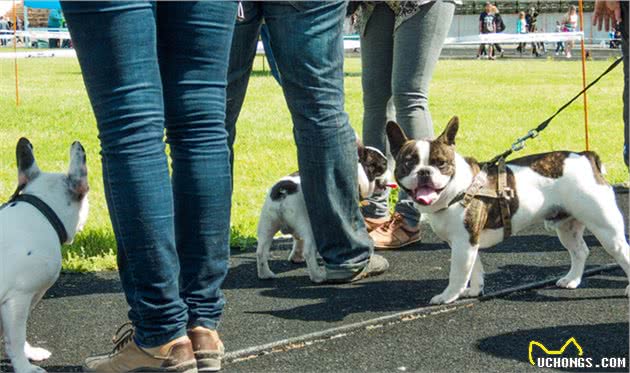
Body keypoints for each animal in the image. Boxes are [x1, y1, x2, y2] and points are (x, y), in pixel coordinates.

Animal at [0, 137, 89, 372]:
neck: (43, 209)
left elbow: (17, 333)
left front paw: (28, 352)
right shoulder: (19, 298)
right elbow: (16, 337)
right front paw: (23, 366)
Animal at [256, 141, 390, 280]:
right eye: (383, 165)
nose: (391, 168)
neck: (359, 170)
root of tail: (284, 192)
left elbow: (298, 239)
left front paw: (296, 256)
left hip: (268, 223)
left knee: (261, 251)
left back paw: (265, 274)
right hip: (310, 227)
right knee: (309, 252)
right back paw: (318, 276)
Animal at [388, 117, 628, 306]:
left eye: (441, 163)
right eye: (408, 163)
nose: (424, 172)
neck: (458, 189)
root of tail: (586, 157)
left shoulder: (463, 243)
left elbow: (458, 273)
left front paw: (448, 296)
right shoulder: (469, 243)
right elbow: (475, 269)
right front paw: (474, 291)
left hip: (605, 228)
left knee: (621, 252)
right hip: (567, 227)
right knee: (580, 251)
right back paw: (572, 280)